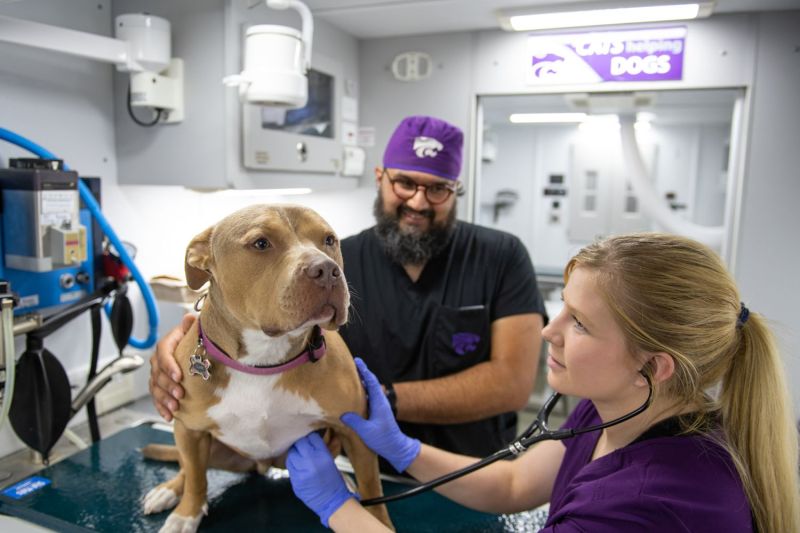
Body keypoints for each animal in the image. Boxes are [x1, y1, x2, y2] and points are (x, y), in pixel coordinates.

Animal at [145, 203, 396, 528]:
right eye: (261, 243)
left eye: (329, 239)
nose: (327, 270)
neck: (262, 360)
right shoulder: (189, 429)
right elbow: (196, 478)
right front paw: (187, 514)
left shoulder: (356, 429)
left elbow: (371, 486)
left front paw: (378, 520)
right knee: (189, 469)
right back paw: (169, 490)